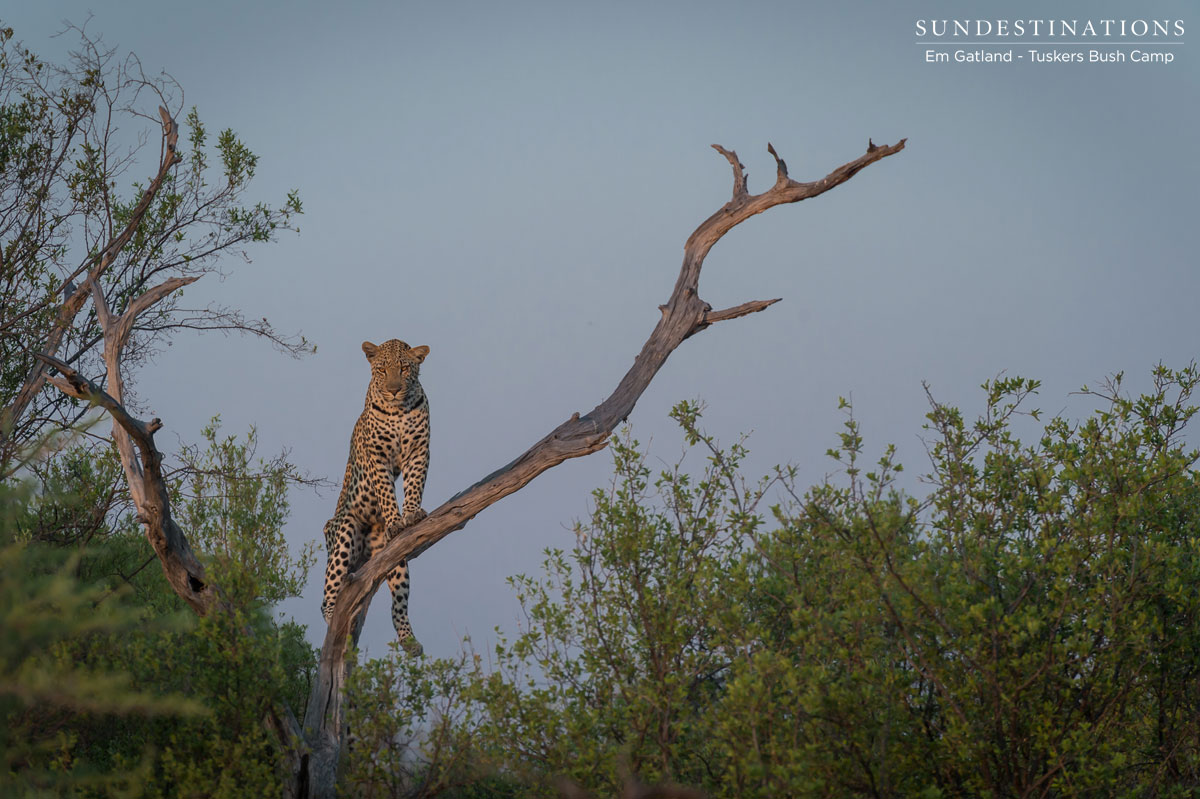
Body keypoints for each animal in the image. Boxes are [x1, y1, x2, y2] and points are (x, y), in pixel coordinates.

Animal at [321, 338, 430, 654]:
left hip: (395, 559)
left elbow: (414, 485)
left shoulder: (419, 450)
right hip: (343, 531)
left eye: (404, 368)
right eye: (382, 370)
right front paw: (395, 519)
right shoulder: (378, 457)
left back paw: (409, 641)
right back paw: (335, 619)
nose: (393, 389)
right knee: (330, 589)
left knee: (399, 605)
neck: (399, 410)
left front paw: (412, 514)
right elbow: (385, 491)